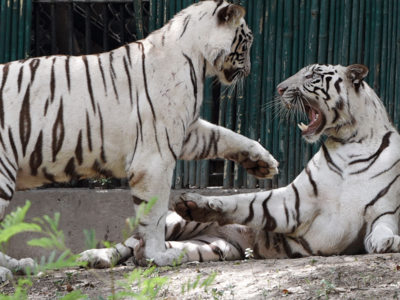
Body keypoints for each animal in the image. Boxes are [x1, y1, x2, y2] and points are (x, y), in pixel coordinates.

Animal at [0, 0, 280, 282]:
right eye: (247, 42)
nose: (248, 71)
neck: (197, 61)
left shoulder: (186, 132)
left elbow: (225, 135)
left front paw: (262, 163)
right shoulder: (155, 155)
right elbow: (154, 215)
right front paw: (159, 256)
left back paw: (20, 264)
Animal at [134, 63, 400, 262]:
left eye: (312, 75)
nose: (280, 89)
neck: (350, 142)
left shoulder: (383, 211)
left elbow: (383, 228)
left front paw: (387, 241)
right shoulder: (295, 203)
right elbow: (245, 201)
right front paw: (198, 203)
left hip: (215, 246)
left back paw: (146, 255)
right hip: (174, 223)